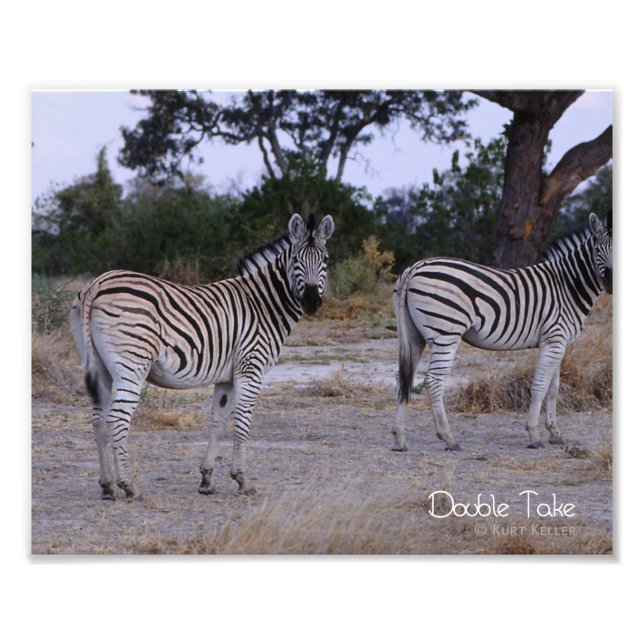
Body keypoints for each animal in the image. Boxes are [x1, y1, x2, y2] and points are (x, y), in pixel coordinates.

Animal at [70, 213, 335, 500]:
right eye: (296, 259)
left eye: (325, 260)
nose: (311, 302)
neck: (263, 305)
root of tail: (98, 282)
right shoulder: (250, 367)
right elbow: (242, 422)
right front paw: (243, 480)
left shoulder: (226, 377)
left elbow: (217, 422)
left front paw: (207, 479)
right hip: (131, 365)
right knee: (117, 420)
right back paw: (129, 486)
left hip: (100, 367)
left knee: (98, 421)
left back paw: (107, 485)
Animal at [391, 211, 612, 452]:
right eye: (598, 250)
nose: (611, 284)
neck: (567, 286)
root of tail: (415, 268)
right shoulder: (554, 339)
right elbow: (540, 386)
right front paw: (534, 434)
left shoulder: (559, 343)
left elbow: (553, 388)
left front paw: (555, 434)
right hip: (446, 333)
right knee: (433, 382)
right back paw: (449, 438)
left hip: (413, 335)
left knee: (404, 378)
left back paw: (399, 439)